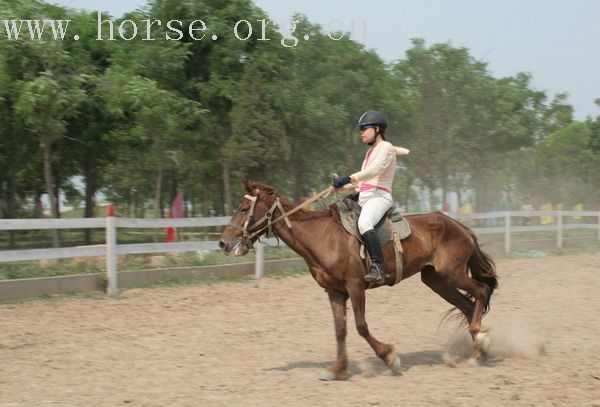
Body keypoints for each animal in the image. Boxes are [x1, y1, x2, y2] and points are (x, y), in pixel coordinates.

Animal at [219, 182, 496, 380]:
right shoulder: (334, 292)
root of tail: (460, 226)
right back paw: (478, 350)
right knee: (468, 305)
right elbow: (340, 330)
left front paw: (389, 358)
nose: (223, 242)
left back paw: (480, 340)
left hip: (453, 274)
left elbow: (361, 326)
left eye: (243, 209)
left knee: (481, 291)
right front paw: (337, 369)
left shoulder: (355, 287)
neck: (323, 236)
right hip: (437, 280)